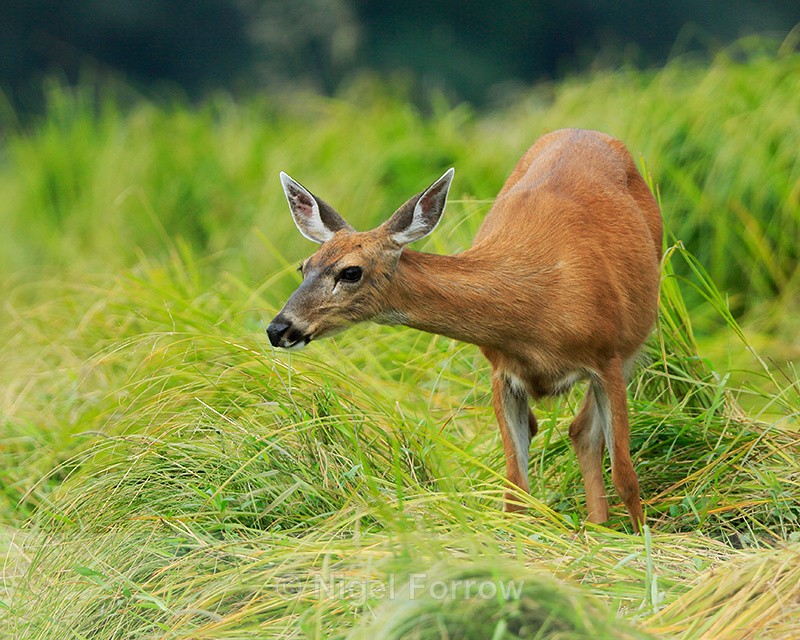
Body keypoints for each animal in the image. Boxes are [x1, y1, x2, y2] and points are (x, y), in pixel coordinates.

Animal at [267, 128, 662, 533]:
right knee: (578, 432)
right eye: (304, 266)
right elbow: (515, 487)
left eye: (350, 271)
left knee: (587, 434)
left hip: (634, 341)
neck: (539, 309)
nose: (279, 328)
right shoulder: (502, 372)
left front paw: (642, 538)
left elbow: (625, 476)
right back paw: (597, 527)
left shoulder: (607, 357)